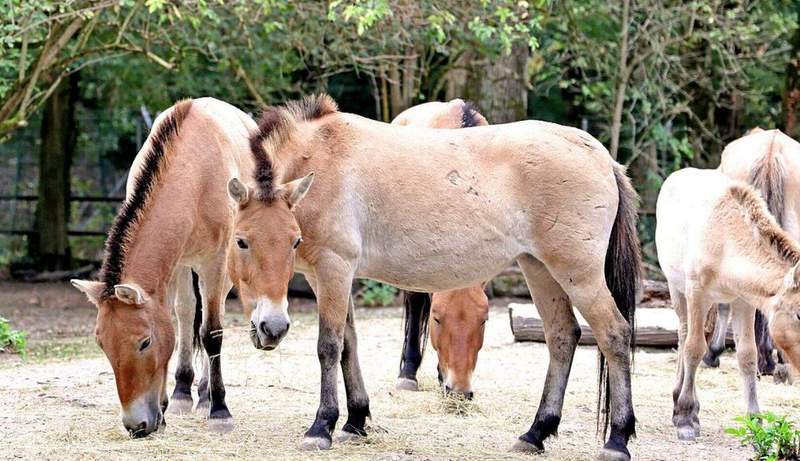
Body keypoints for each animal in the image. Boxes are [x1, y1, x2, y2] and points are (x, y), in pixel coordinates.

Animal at [71, 98, 256, 436]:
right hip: (185, 268)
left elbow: (212, 333)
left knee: (212, 319)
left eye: (144, 342)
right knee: (187, 313)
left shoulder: (215, 261)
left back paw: (208, 396)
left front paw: (220, 411)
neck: (194, 172)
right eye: (102, 344)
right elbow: (176, 320)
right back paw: (186, 392)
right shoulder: (170, 267)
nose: (136, 425)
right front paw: (168, 406)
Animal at [656, 167, 800, 441]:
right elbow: (693, 349)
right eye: (799, 315)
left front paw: (755, 420)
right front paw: (685, 418)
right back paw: (680, 401)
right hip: (677, 289)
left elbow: (747, 355)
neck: (726, 242)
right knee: (684, 335)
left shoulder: (743, 301)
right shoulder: (697, 293)